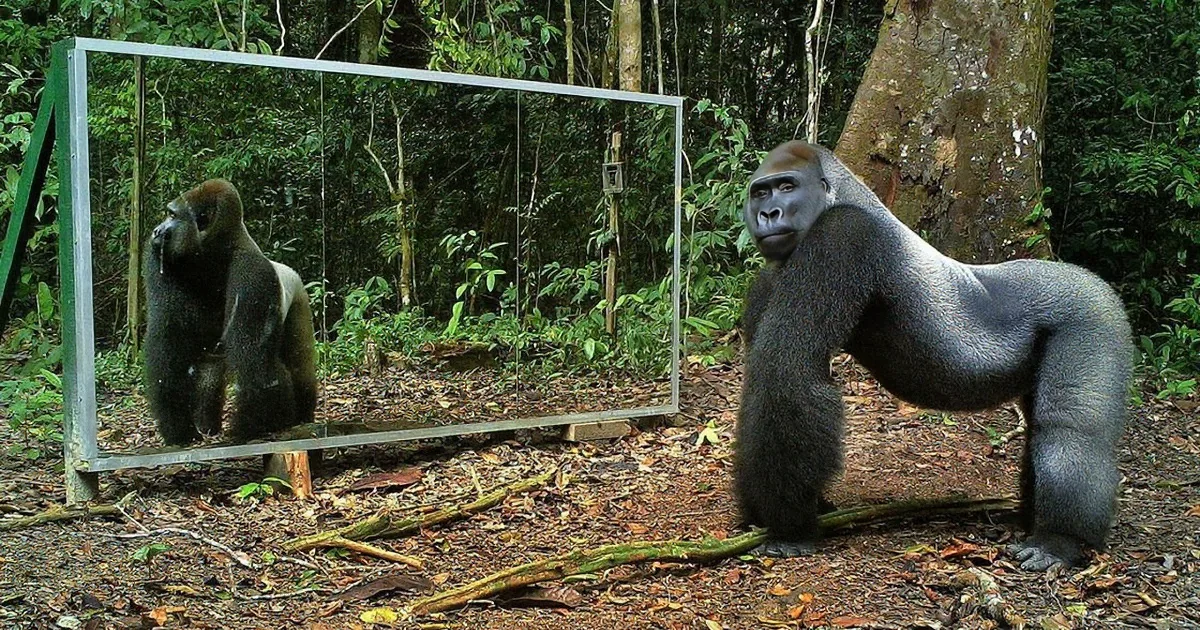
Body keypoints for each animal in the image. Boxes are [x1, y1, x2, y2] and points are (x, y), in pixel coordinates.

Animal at [143, 179, 317, 445]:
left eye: (172, 215)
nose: (155, 231)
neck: (217, 251)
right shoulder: (161, 257)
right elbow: (168, 342)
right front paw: (178, 427)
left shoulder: (252, 273)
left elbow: (254, 363)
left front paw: (247, 429)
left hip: (300, 295)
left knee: (295, 363)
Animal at [734, 141, 1134, 571]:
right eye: (760, 192)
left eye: (786, 187)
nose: (768, 213)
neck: (844, 195)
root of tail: (1090, 279)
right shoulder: (774, 272)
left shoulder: (843, 234)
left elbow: (790, 374)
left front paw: (791, 526)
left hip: (1093, 316)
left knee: (1072, 432)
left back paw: (1060, 540)